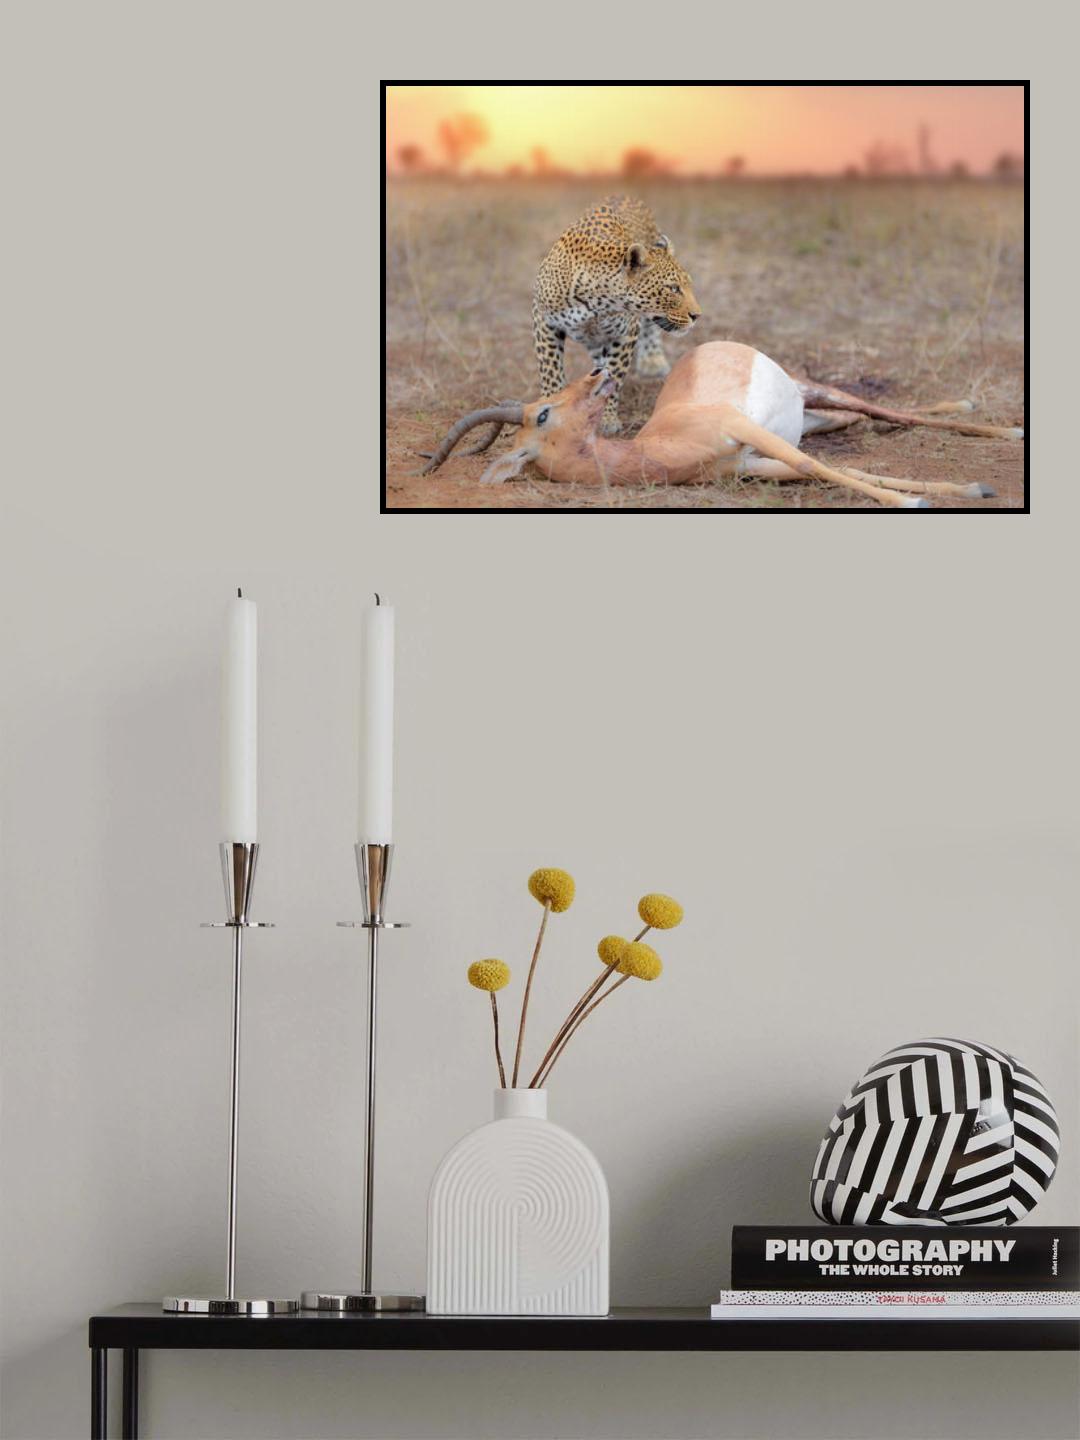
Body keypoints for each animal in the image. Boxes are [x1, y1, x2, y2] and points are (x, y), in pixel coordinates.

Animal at [533, 196, 701, 433]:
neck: (597, 301)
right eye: (673, 288)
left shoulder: (626, 333)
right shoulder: (545, 321)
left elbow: (613, 376)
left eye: (687, 286)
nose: (697, 315)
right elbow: (551, 372)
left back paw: (652, 360)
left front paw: (607, 419)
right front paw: (551, 407)